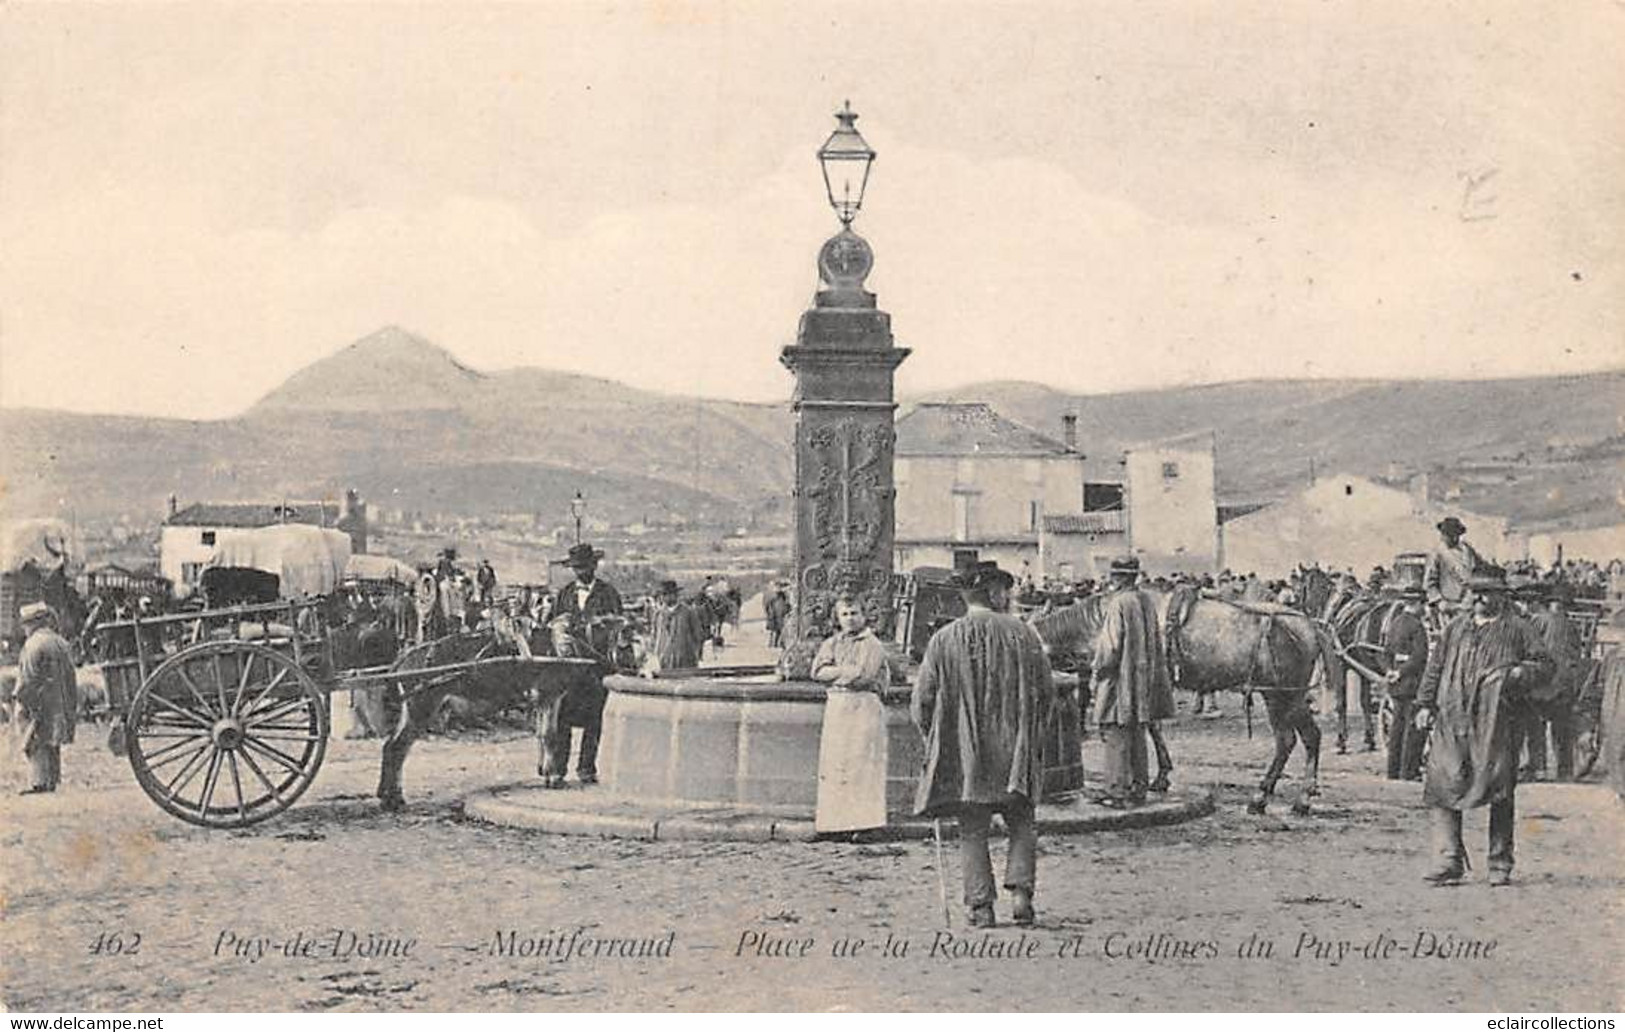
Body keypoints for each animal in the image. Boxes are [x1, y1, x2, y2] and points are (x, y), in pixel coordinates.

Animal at [1027, 588, 1345, 815]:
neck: (1098, 621)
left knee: (1301, 739)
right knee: (1296, 739)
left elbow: (1152, 728)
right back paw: (1274, 796)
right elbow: (1151, 729)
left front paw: (1159, 777)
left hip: (1286, 695)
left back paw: (1289, 797)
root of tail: (1310, 625)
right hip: (1279, 695)